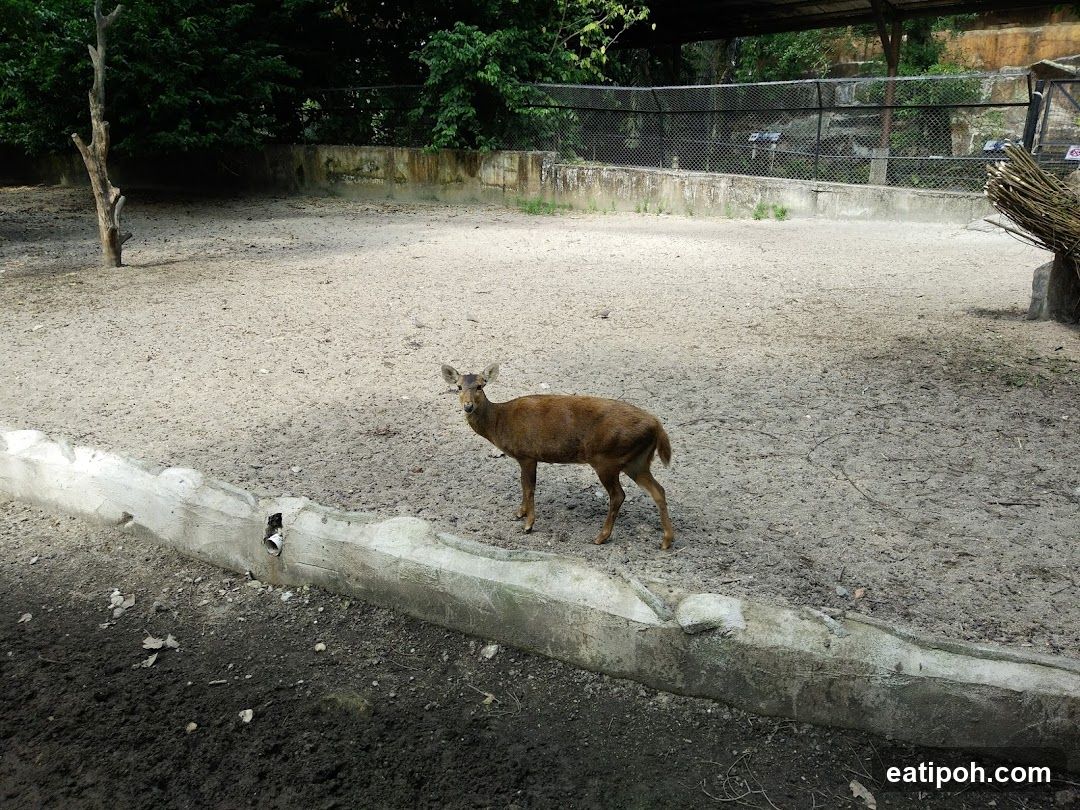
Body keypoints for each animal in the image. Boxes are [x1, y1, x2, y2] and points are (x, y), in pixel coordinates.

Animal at [440, 363, 675, 550]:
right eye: (458, 387)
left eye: (480, 386)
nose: (468, 406)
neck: (500, 423)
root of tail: (657, 425)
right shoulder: (524, 457)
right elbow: (523, 485)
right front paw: (519, 513)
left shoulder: (527, 454)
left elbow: (529, 487)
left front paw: (528, 525)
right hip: (637, 461)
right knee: (659, 491)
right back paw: (666, 541)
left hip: (607, 459)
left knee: (618, 495)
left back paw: (600, 537)